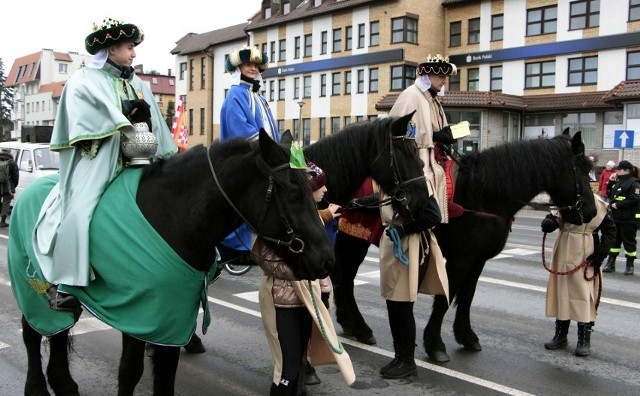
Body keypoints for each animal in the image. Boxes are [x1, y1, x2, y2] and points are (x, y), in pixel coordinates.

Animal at [8, 131, 336, 396]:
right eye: (293, 193)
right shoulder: (137, 316)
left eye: (311, 191)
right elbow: (130, 372)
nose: (326, 260)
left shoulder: (170, 319)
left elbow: (165, 377)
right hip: (30, 287)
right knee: (31, 332)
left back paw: (64, 384)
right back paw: (36, 387)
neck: (173, 219)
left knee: (58, 333)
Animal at [330, 128, 600, 360]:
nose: (591, 212)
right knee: (345, 278)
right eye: (583, 169)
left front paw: (466, 336)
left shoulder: (477, 260)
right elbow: (446, 297)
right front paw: (435, 345)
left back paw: (350, 324)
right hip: (354, 239)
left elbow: (467, 295)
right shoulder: (460, 260)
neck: (482, 194)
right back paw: (360, 327)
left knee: (343, 278)